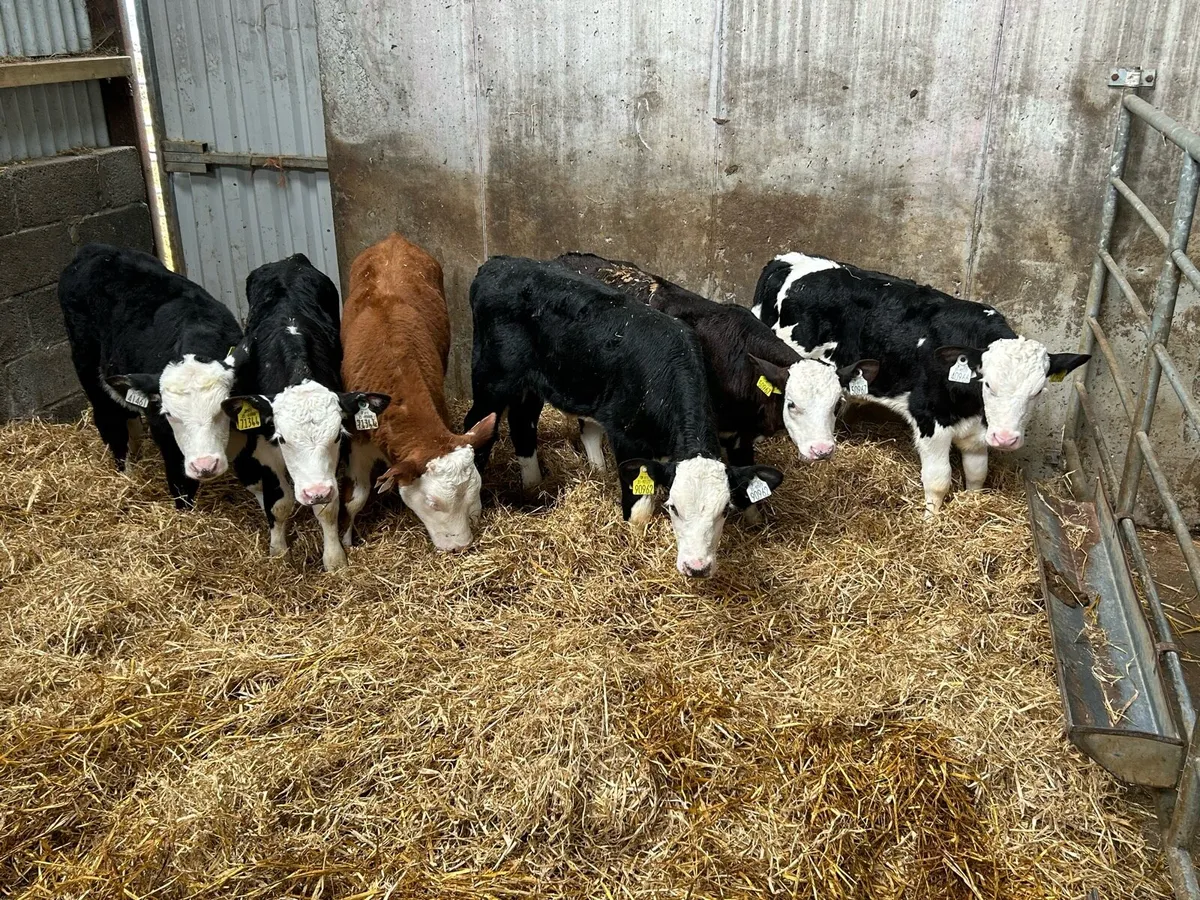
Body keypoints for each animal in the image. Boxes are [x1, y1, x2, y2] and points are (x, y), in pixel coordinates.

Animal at [58, 243, 243, 509]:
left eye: (222, 410)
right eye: (170, 415)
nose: (205, 466)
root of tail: (95, 249)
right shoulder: (163, 431)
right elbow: (180, 482)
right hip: (87, 366)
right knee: (109, 420)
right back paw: (125, 471)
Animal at [221, 255, 390, 571]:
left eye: (337, 436)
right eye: (282, 439)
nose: (315, 492)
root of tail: (289, 260)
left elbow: (329, 508)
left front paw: (334, 558)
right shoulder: (265, 448)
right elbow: (280, 503)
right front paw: (278, 550)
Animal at [340, 233, 496, 552]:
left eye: (475, 489)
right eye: (432, 502)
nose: (460, 546)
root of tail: (393, 239)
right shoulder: (357, 438)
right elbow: (355, 498)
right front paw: (346, 545)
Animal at [464, 256, 785, 578]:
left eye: (724, 510)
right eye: (673, 507)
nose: (697, 567)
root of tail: (500, 262)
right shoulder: (626, 436)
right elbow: (640, 511)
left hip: (531, 385)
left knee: (522, 424)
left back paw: (533, 486)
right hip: (491, 381)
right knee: (477, 428)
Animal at [753, 251, 1090, 516]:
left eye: (1037, 392)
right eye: (988, 384)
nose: (1005, 439)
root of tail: (787, 260)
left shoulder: (979, 430)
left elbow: (977, 474)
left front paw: (972, 503)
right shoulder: (930, 419)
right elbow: (939, 480)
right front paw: (930, 522)